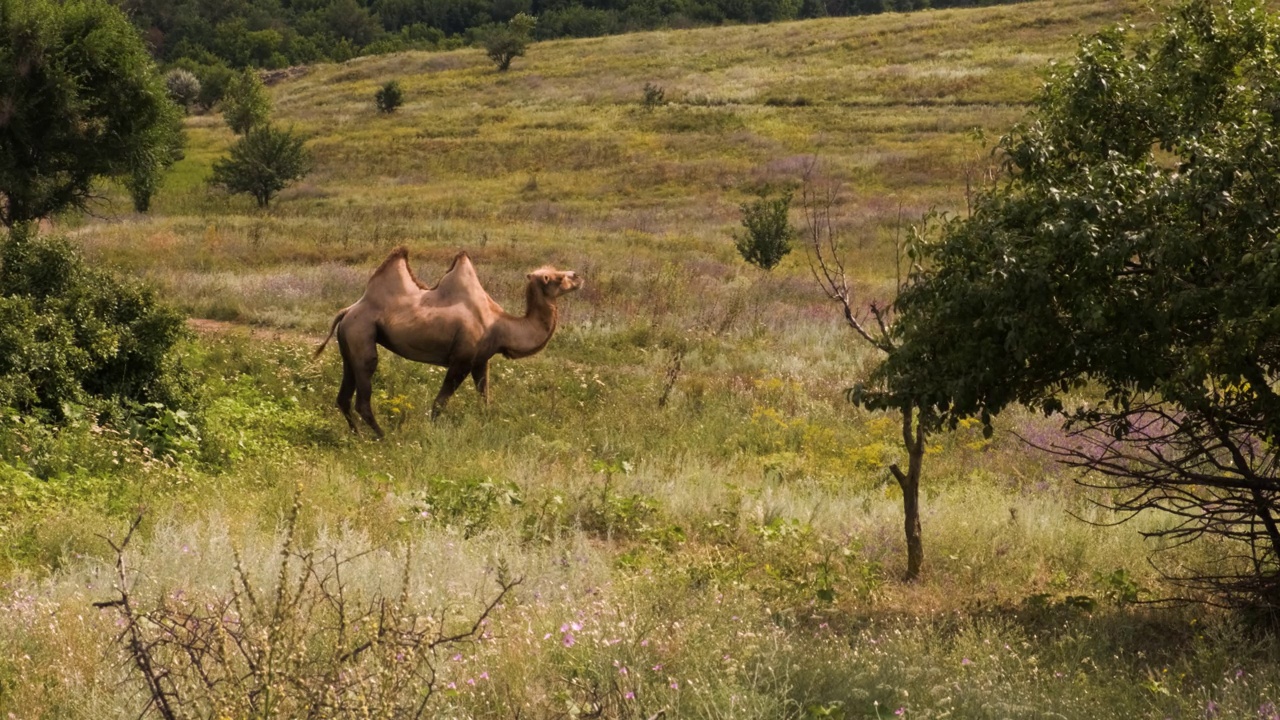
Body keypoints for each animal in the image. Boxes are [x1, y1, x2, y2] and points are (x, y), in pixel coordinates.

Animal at [317, 245, 583, 438]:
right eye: (555, 278)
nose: (577, 275)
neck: (500, 325)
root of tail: (348, 310)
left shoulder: (480, 361)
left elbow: (485, 397)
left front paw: (487, 423)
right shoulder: (461, 360)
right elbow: (439, 402)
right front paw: (431, 431)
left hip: (349, 344)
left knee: (343, 397)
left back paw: (358, 436)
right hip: (362, 334)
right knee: (363, 393)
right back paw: (383, 437)